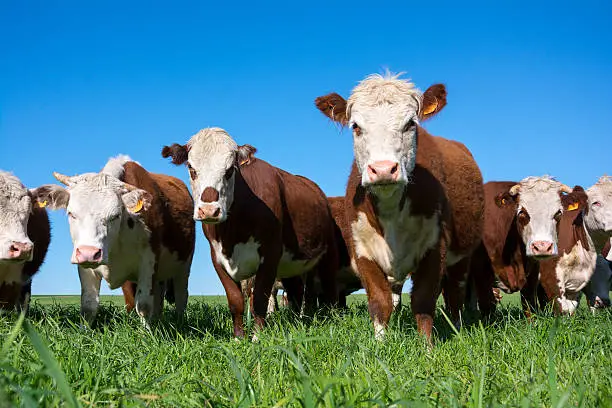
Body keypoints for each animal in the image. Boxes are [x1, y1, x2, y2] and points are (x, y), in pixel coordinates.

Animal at [31, 156, 194, 326]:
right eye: (71, 213)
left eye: (115, 215)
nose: (89, 253)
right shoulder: (85, 266)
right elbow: (89, 305)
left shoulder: (149, 261)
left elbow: (143, 305)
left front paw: (148, 332)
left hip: (184, 267)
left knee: (181, 296)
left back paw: (180, 322)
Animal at [161, 127, 340, 338]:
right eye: (191, 168)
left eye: (230, 170)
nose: (209, 210)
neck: (232, 234)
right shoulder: (218, 259)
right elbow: (236, 300)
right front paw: (239, 337)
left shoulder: (270, 255)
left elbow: (259, 301)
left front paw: (257, 336)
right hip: (293, 264)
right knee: (297, 292)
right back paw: (299, 320)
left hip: (329, 252)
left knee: (328, 286)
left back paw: (332, 316)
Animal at [316, 74, 482, 342]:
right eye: (356, 126)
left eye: (410, 124)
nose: (383, 169)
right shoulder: (361, 248)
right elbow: (379, 301)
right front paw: (380, 343)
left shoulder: (435, 246)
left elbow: (423, 301)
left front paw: (427, 347)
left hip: (462, 255)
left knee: (455, 292)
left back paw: (456, 327)